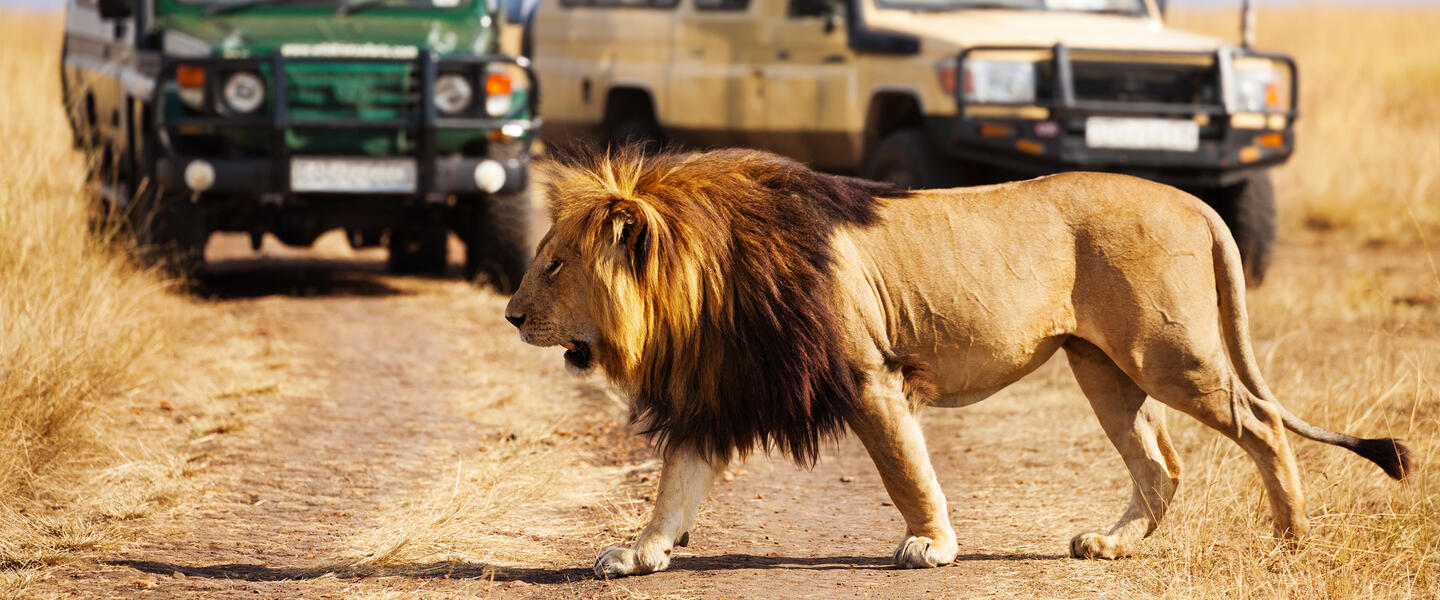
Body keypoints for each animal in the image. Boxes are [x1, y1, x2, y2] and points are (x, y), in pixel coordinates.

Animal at [501, 145, 1411, 575]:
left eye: (554, 265)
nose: (510, 316)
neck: (702, 289)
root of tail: (1191, 198)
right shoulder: (717, 395)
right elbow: (673, 488)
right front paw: (638, 554)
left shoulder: (870, 375)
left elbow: (907, 470)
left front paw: (931, 546)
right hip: (1102, 367)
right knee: (1162, 465)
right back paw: (1110, 545)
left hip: (1167, 352)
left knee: (1261, 422)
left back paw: (1289, 538)